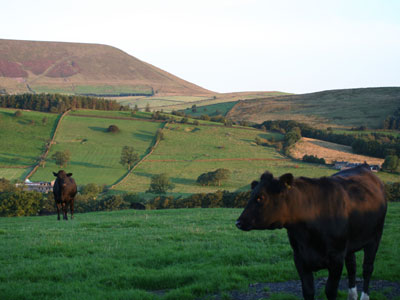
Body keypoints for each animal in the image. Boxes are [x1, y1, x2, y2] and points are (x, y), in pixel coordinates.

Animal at [236, 164, 386, 300]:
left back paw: (364, 296)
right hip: (350, 245)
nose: (238, 222)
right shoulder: (299, 258)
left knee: (367, 268)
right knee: (352, 266)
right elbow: (308, 291)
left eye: (260, 197)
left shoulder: (336, 258)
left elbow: (330, 291)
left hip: (375, 238)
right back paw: (352, 295)